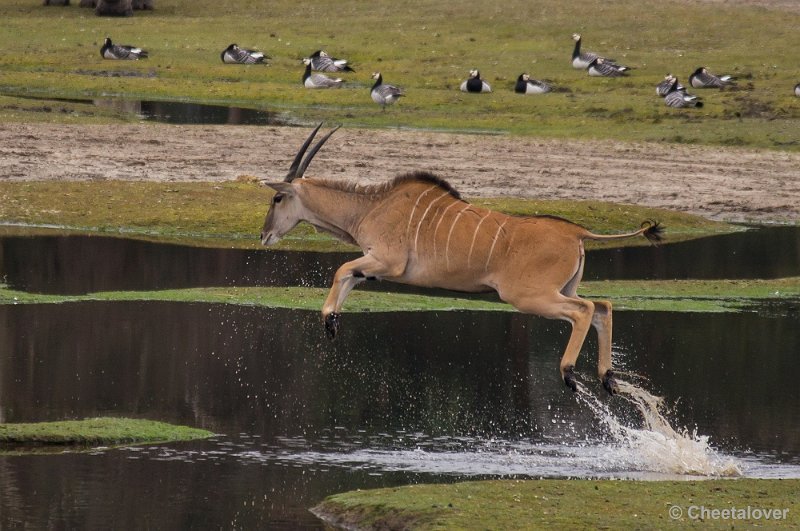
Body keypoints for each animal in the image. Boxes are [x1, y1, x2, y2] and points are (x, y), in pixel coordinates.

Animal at [260, 125, 664, 394]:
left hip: (529, 297)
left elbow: (340, 269)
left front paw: (329, 319)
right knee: (602, 306)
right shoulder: (374, 266)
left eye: (277, 198)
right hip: (563, 289)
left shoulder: (388, 263)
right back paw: (607, 378)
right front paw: (332, 323)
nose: (264, 235)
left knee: (584, 311)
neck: (371, 207)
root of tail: (578, 233)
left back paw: (568, 372)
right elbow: (349, 275)